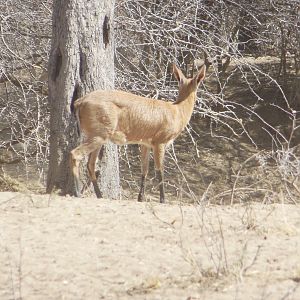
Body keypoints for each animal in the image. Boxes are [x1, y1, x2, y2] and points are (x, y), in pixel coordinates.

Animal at [70, 64, 206, 203]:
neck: (177, 111)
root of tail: (79, 102)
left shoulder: (145, 143)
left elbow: (144, 169)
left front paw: (140, 198)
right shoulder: (160, 142)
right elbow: (160, 170)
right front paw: (163, 200)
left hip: (97, 136)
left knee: (91, 165)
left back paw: (99, 195)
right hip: (99, 135)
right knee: (75, 154)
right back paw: (77, 193)